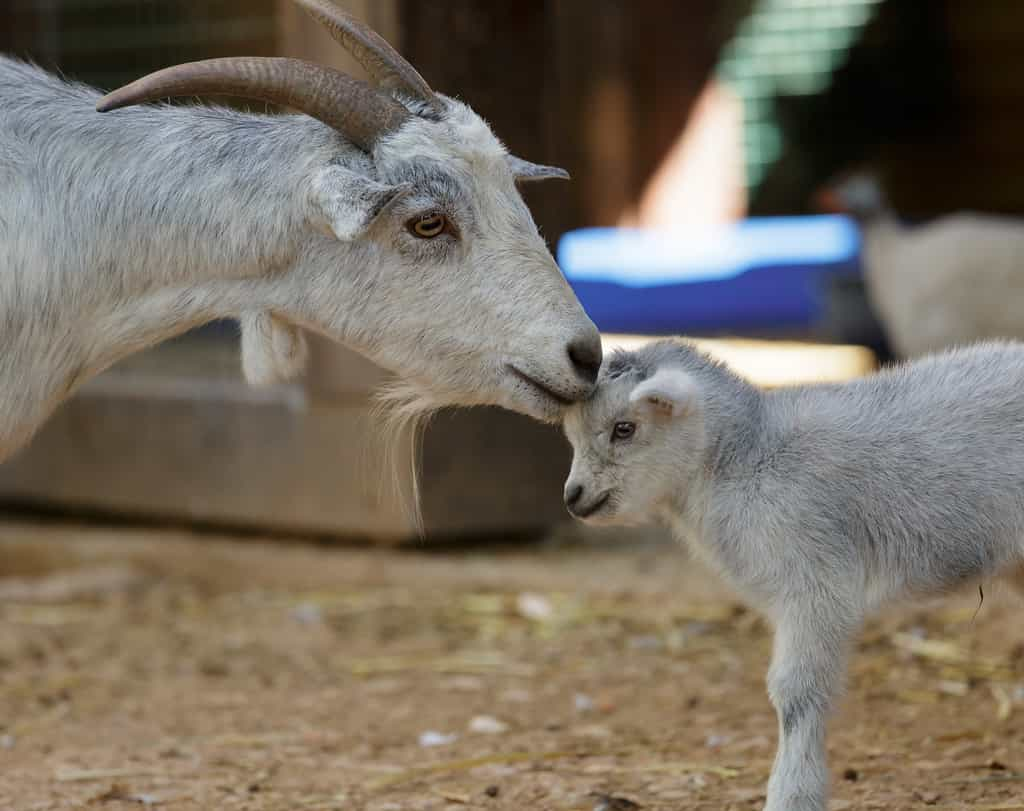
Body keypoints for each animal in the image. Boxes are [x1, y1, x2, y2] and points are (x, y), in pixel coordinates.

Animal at [561, 339, 1024, 811]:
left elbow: (795, 694)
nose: (573, 497)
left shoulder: (816, 584)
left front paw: (793, 795)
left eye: (624, 428)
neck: (745, 458)